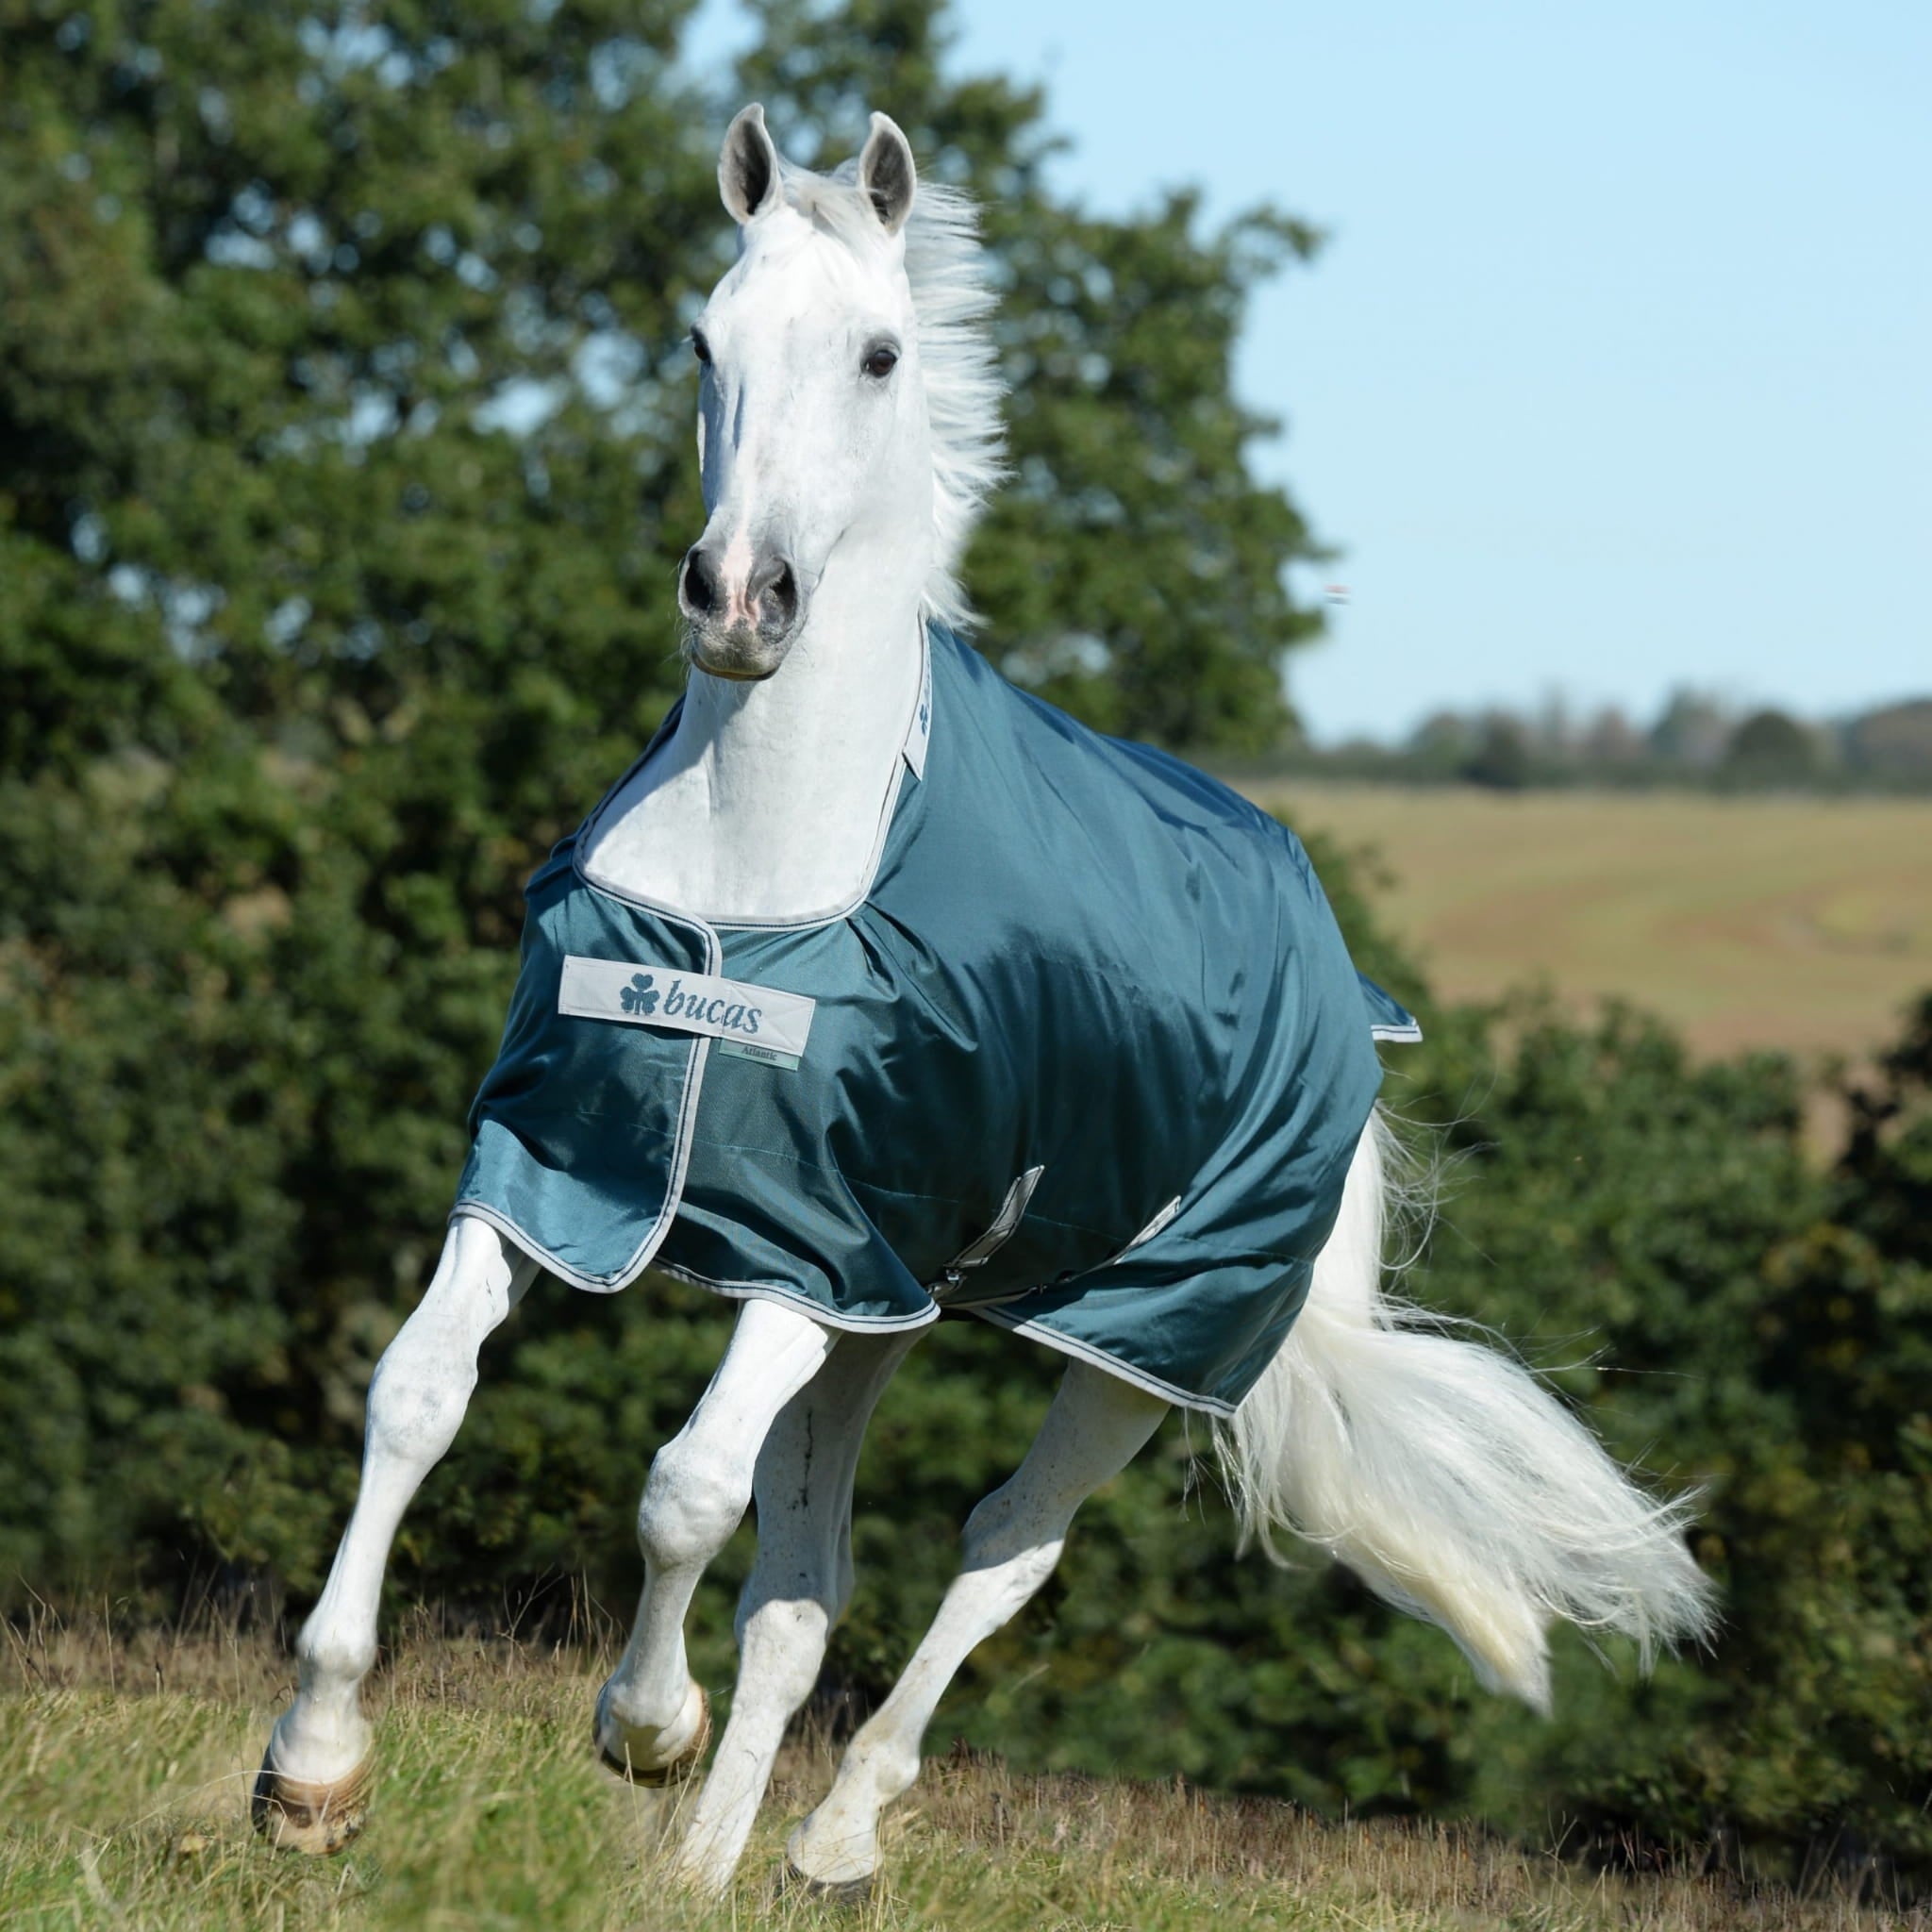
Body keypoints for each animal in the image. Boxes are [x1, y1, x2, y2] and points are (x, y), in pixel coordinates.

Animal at [253, 105, 1715, 1899]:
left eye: (880, 354)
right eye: (702, 341)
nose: (736, 602)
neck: (755, 877)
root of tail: (1336, 976)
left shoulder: (809, 1254)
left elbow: (682, 1489)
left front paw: (640, 1725)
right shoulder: (563, 1177)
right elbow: (416, 1396)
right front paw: (315, 1766)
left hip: (1131, 1343)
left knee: (1002, 1552)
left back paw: (829, 1833)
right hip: (893, 1321)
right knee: (804, 1589)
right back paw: (706, 1867)